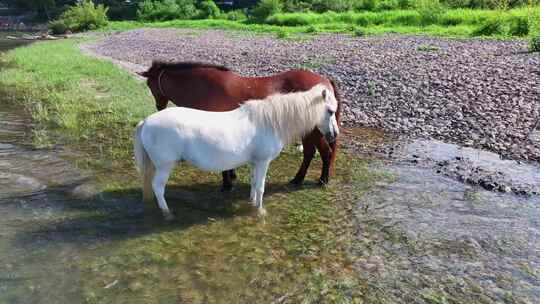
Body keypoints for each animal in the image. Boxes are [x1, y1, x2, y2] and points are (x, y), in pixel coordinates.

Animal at [134, 84, 338, 220]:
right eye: (329, 111)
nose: (334, 134)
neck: (269, 122)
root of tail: (146, 121)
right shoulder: (263, 162)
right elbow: (261, 186)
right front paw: (260, 211)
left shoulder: (255, 162)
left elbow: (254, 184)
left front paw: (252, 203)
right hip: (164, 166)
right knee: (158, 187)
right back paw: (167, 213)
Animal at [139, 61, 342, 190]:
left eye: (150, 84)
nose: (159, 106)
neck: (204, 86)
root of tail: (324, 80)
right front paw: (231, 177)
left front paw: (227, 184)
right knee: (309, 153)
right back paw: (297, 179)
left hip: (315, 131)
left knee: (324, 152)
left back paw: (322, 180)